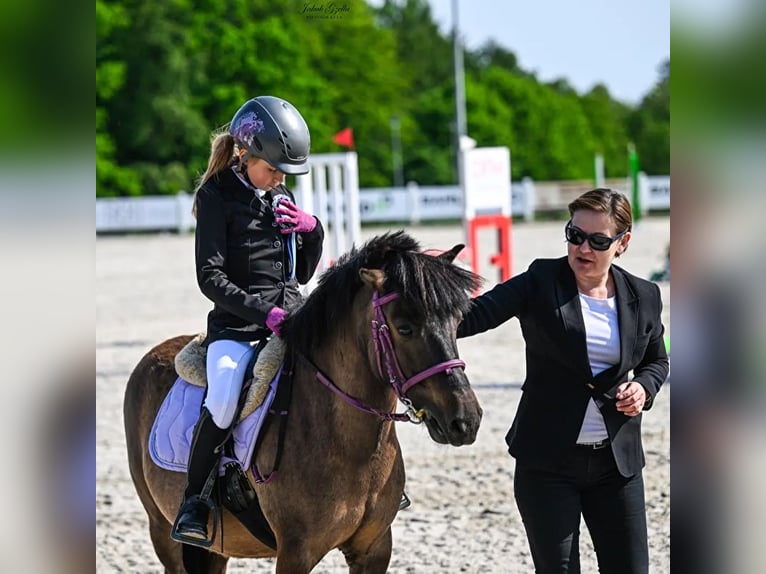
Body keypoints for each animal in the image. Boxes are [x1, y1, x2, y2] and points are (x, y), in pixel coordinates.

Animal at [126, 233, 486, 574]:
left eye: (458, 322)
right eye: (405, 328)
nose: (465, 420)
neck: (350, 446)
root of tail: (154, 355)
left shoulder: (374, 550)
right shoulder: (296, 553)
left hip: (216, 549)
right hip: (162, 529)